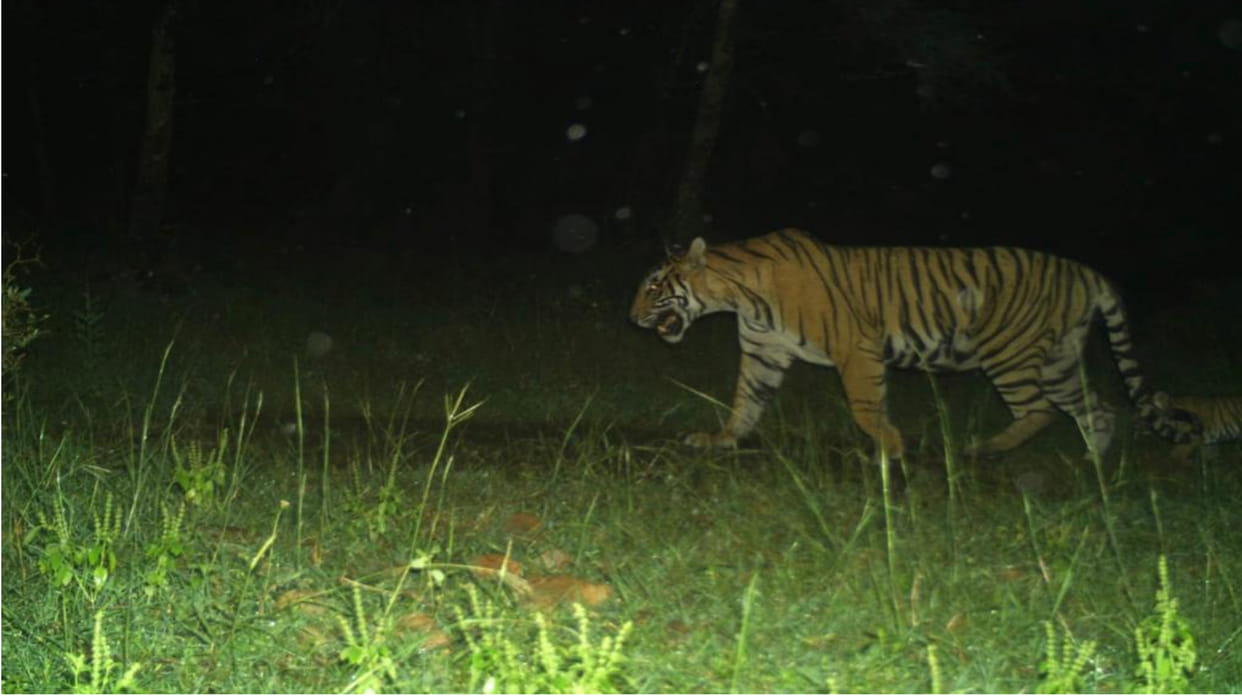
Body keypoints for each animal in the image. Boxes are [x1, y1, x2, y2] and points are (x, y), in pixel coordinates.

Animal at [629, 228, 1201, 470]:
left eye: (654, 286)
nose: (631, 317)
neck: (738, 296)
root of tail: (1087, 271)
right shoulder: (765, 353)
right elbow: (746, 402)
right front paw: (720, 440)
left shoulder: (856, 349)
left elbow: (866, 408)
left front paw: (891, 450)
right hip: (1058, 359)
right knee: (1098, 409)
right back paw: (1092, 466)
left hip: (1011, 354)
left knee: (1040, 410)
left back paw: (984, 450)